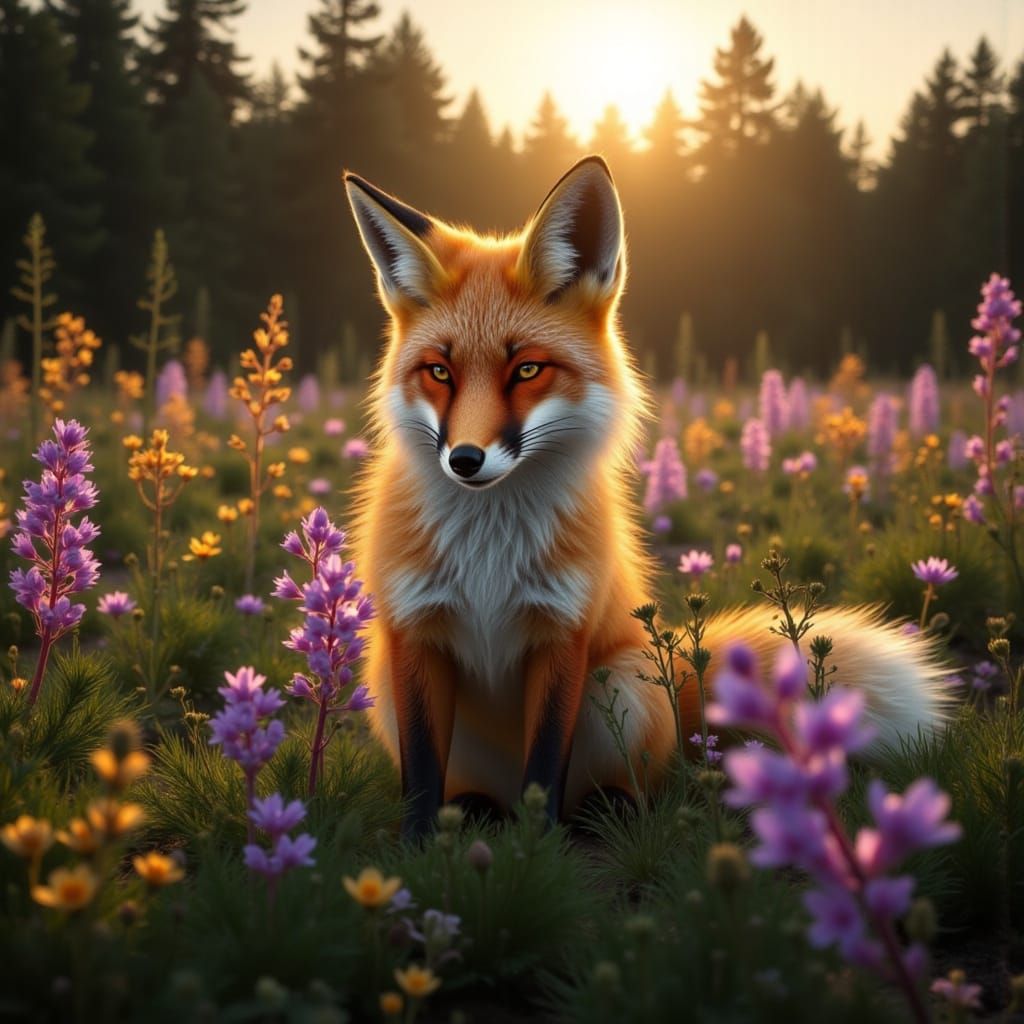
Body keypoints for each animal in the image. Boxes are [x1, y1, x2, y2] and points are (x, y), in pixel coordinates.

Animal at [343, 156, 950, 839]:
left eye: (527, 370)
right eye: (439, 373)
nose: (465, 460)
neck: (488, 554)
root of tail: (683, 672)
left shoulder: (564, 635)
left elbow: (544, 772)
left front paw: (537, 849)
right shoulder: (414, 633)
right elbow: (422, 776)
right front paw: (420, 850)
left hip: (625, 681)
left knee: (620, 786)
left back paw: (607, 811)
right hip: (385, 684)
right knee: (475, 791)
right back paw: (476, 811)